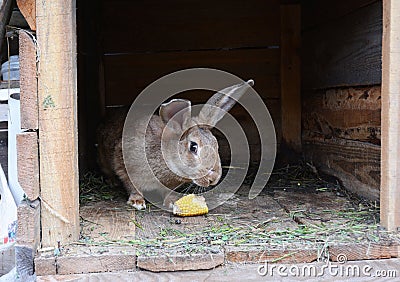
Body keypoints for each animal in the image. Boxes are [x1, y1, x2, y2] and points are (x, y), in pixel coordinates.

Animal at [96, 79, 253, 209]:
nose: (213, 179)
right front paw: (137, 202)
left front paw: (172, 202)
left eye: (216, 144)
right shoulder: (124, 165)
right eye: (193, 147)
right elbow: (132, 186)